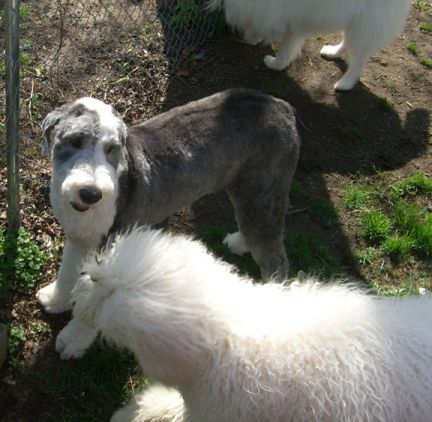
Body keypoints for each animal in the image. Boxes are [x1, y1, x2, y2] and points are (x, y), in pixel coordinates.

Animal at [36, 89, 300, 314]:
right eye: (76, 140)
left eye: (111, 148)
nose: (92, 194)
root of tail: (283, 107)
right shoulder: (79, 237)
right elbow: (67, 272)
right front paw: (55, 301)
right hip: (252, 196)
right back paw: (237, 243)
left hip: (263, 193)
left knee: (275, 258)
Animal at [209, 0, 412, 90]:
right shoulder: (291, 24)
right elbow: (286, 49)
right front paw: (278, 65)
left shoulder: (270, 14)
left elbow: (262, 31)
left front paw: (254, 43)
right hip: (353, 27)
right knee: (346, 45)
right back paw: (332, 52)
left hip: (362, 29)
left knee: (358, 62)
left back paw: (344, 84)